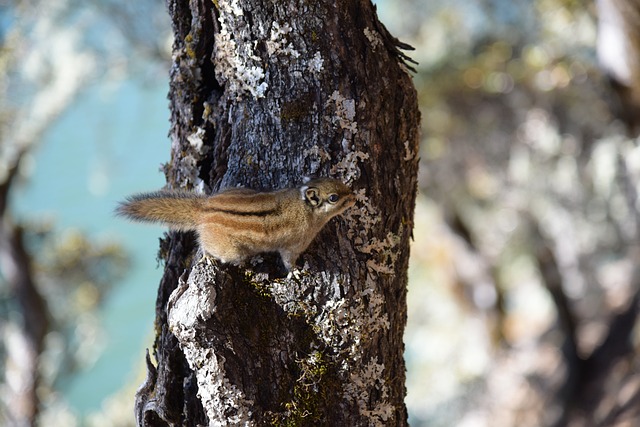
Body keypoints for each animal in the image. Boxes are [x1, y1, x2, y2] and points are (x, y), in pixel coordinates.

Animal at [115, 178, 356, 270]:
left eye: (338, 180)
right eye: (333, 197)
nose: (354, 197)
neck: (303, 207)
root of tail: (204, 210)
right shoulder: (292, 246)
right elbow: (288, 262)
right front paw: (296, 272)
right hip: (231, 251)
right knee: (208, 248)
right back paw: (210, 257)